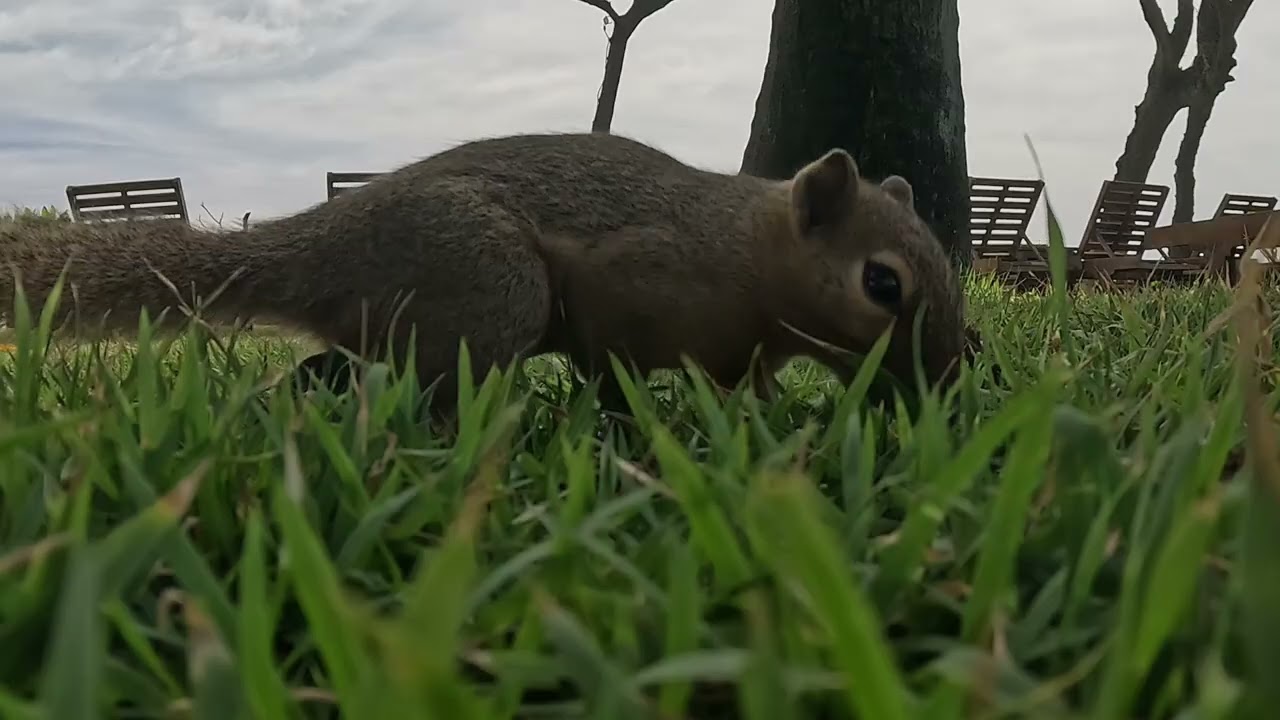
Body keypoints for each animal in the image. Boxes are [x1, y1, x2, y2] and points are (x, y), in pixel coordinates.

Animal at [0, 131, 966, 415]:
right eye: (882, 286)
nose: (945, 384)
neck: (744, 253)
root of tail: (320, 246)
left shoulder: (748, 355)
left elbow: (750, 392)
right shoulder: (634, 285)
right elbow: (611, 371)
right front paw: (624, 425)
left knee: (329, 368)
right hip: (494, 288)